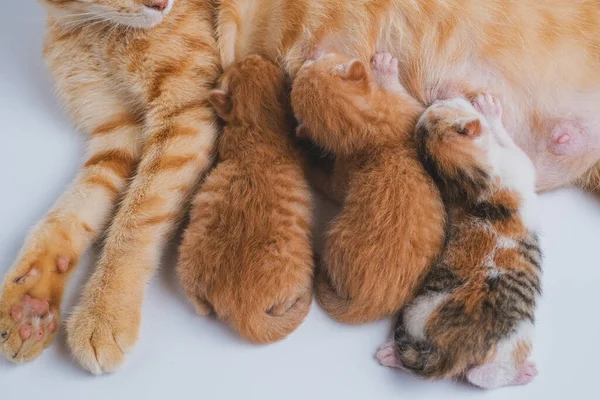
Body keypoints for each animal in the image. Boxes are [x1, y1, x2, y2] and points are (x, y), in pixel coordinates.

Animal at [176, 55, 314, 344]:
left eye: (255, 62)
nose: (252, 55)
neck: (258, 132)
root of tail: (242, 308)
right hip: (300, 268)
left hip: (187, 258)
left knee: (200, 306)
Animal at [290, 53, 446, 324]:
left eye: (316, 62)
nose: (310, 56)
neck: (367, 130)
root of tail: (365, 305)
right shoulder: (412, 112)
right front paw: (385, 68)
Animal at [378, 93, 540, 388]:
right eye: (448, 104)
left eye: (438, 105)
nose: (443, 95)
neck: (465, 185)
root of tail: (448, 347)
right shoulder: (517, 164)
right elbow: (513, 145)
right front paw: (490, 112)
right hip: (518, 334)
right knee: (479, 376)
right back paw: (521, 373)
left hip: (416, 310)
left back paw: (392, 355)